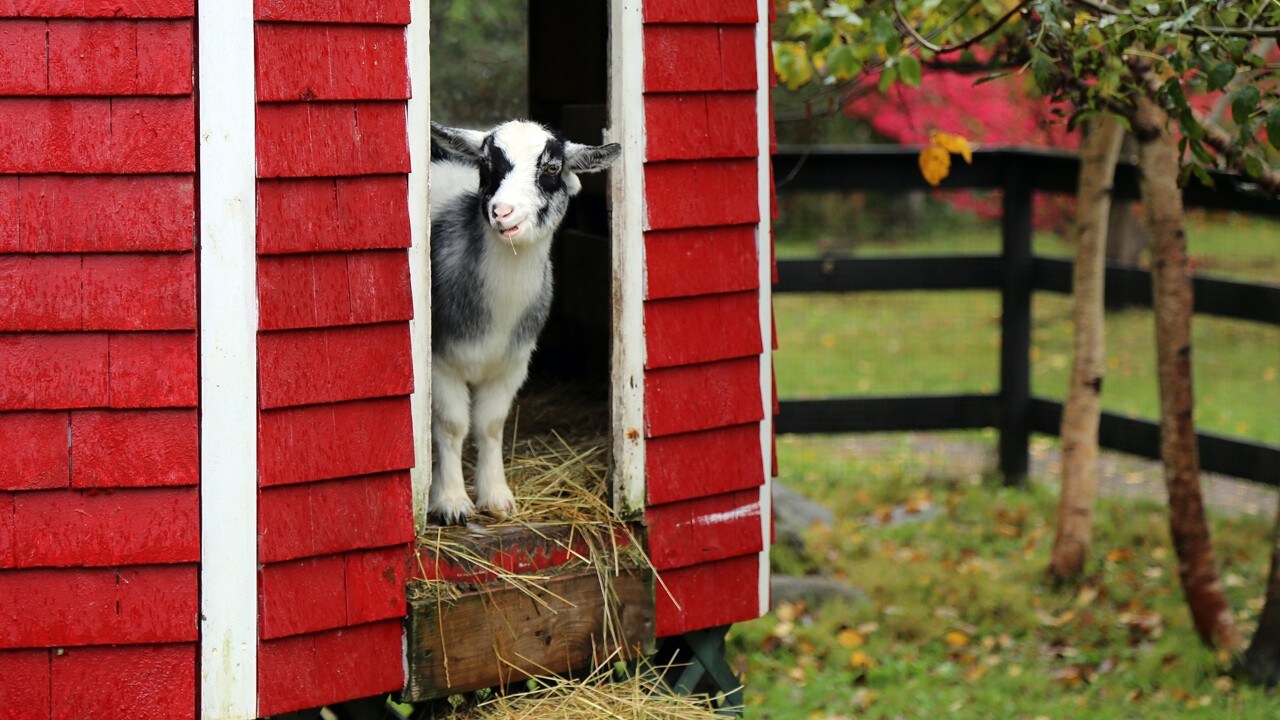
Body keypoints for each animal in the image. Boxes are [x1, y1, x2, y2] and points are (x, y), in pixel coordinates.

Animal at [427, 117, 622, 520]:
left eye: (551, 168)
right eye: (487, 164)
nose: (502, 212)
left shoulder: (512, 363)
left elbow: (489, 425)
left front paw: (496, 497)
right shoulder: (441, 359)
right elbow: (452, 426)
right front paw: (451, 501)